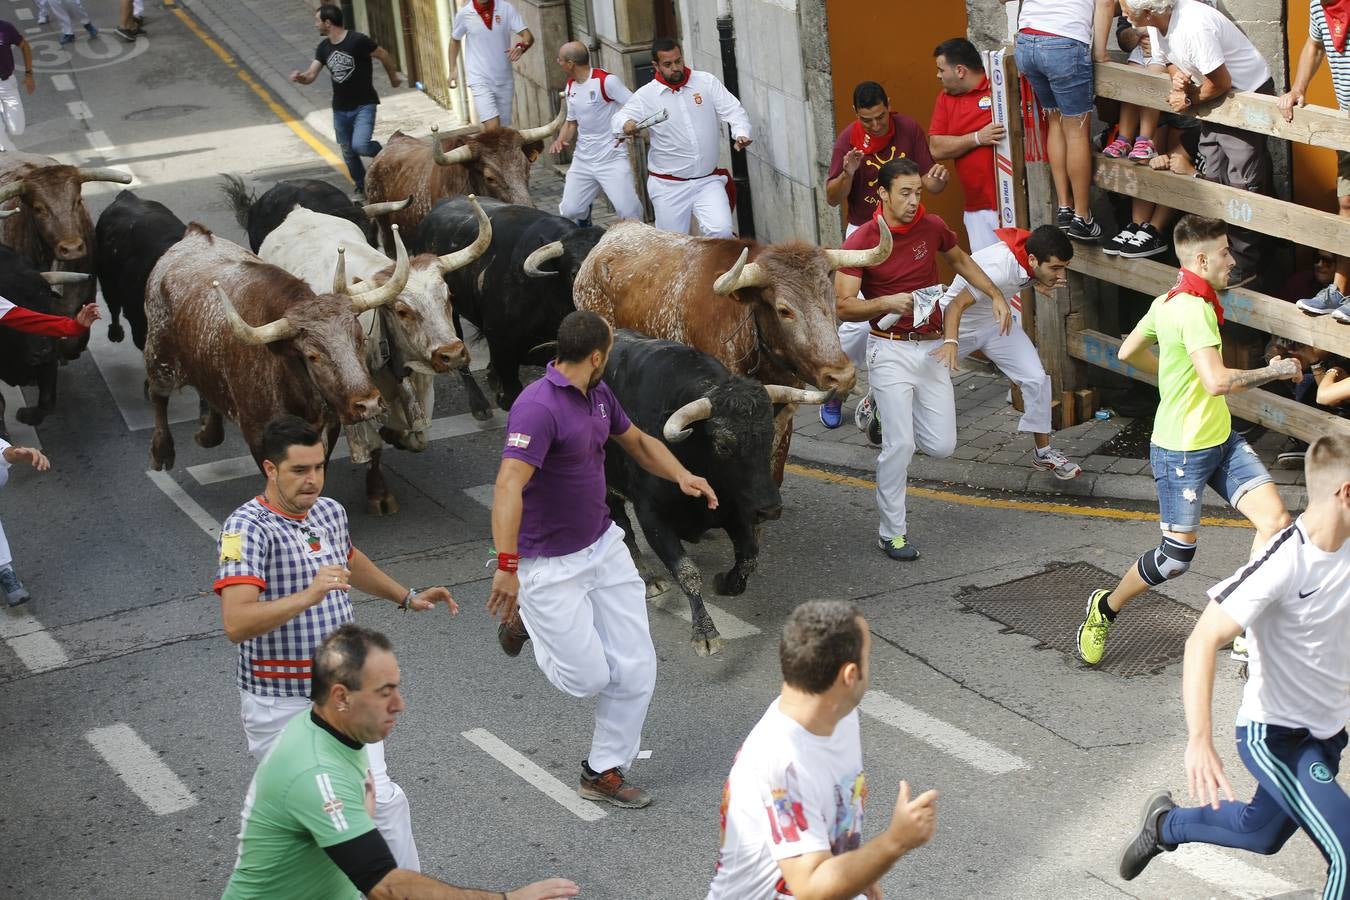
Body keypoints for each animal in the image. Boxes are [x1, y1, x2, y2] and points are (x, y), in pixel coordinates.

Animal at [141, 223, 410, 472]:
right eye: (312, 356)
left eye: (361, 340)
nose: (369, 404)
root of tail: (194, 236)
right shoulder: (258, 435)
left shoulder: (329, 426)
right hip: (159, 356)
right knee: (157, 395)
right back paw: (161, 451)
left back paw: (209, 434)